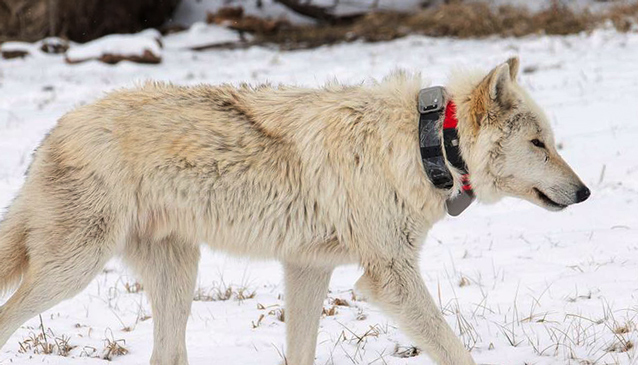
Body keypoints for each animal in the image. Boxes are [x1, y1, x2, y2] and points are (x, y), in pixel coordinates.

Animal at [0, 55, 592, 362]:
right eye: (539, 144)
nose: (585, 192)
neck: (422, 146)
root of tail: (52, 133)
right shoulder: (390, 278)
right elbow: (454, 350)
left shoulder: (308, 268)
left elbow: (301, 350)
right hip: (75, 269)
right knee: (10, 315)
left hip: (177, 277)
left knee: (164, 355)